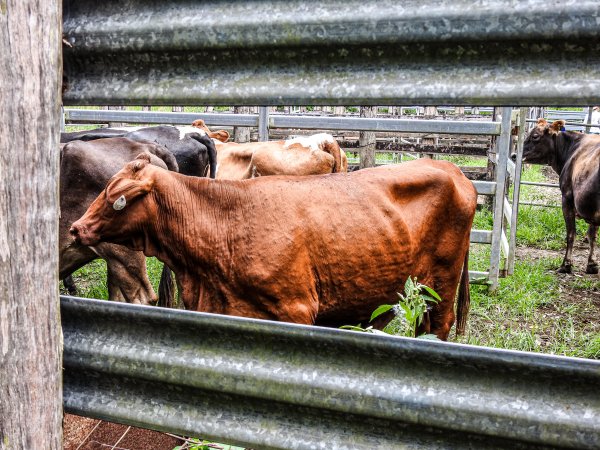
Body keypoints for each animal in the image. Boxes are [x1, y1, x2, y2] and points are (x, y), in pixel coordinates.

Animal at [70, 155, 476, 338]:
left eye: (118, 197)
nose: (76, 228)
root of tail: (453, 169)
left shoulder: (297, 310)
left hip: (441, 283)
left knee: (439, 325)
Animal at [520, 118, 600, 274]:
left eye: (535, 136)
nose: (515, 155)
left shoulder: (567, 198)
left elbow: (571, 233)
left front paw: (566, 265)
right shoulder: (590, 208)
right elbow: (592, 235)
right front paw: (592, 264)